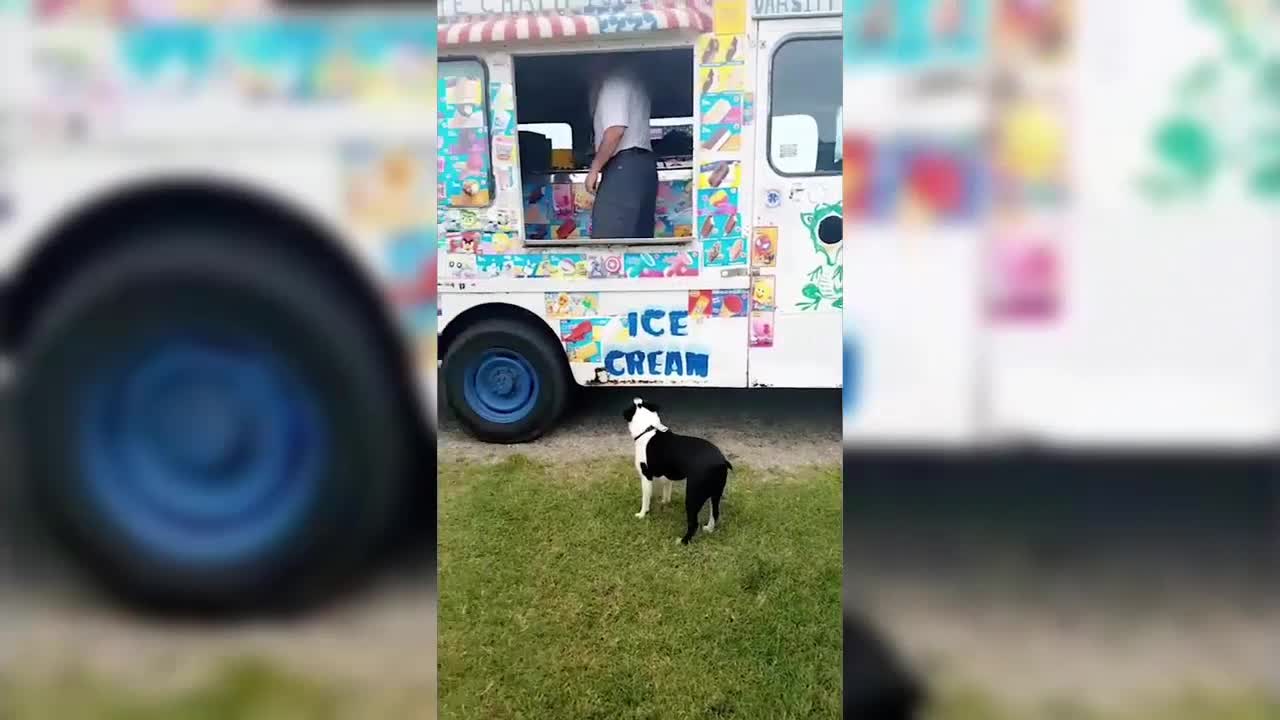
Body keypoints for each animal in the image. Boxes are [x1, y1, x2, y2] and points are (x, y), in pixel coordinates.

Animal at [627, 394, 737, 540]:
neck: (648, 429)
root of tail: (721, 462)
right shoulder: (667, 476)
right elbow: (666, 491)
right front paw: (665, 502)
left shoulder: (646, 476)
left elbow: (645, 498)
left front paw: (642, 514)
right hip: (715, 494)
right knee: (715, 513)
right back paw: (708, 529)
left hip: (693, 495)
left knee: (694, 523)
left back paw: (683, 541)